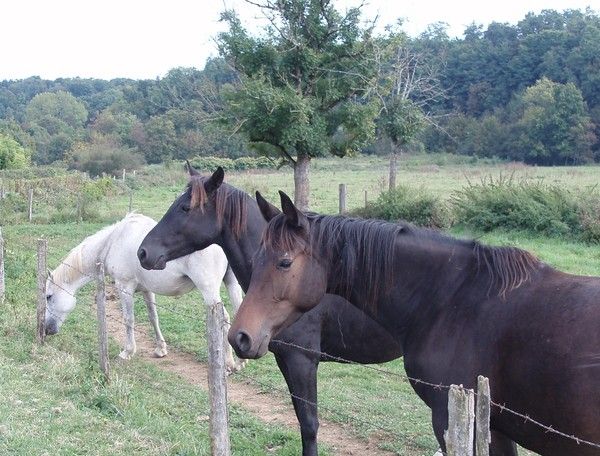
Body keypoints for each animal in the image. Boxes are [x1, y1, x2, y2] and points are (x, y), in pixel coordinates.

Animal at [44, 212, 246, 372]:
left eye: (48, 296)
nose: (47, 329)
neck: (113, 241)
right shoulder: (147, 290)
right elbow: (153, 317)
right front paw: (160, 349)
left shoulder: (124, 287)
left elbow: (128, 319)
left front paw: (127, 352)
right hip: (231, 283)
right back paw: (240, 361)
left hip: (209, 291)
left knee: (224, 318)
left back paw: (228, 363)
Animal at [229, 191, 600, 456]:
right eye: (256, 258)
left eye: (284, 262)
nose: (240, 337)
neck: (454, 299)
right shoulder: (496, 429)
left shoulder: (454, 422)